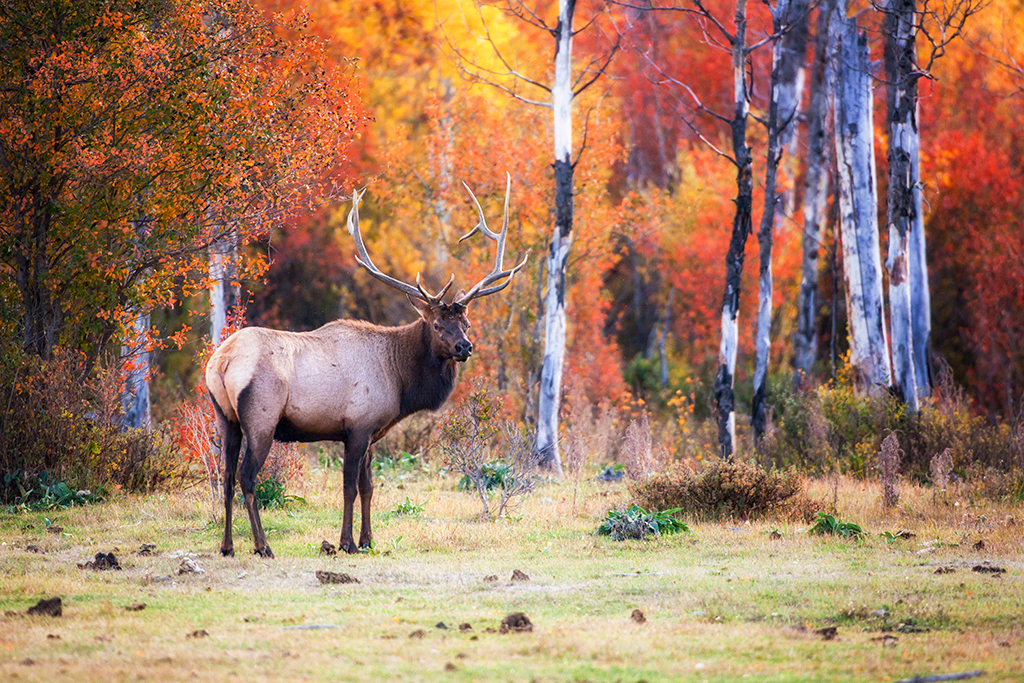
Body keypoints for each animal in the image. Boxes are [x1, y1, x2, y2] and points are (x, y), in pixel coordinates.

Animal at [206, 172, 528, 557]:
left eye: (466, 323)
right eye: (437, 325)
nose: (465, 347)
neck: (400, 381)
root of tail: (221, 362)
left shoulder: (372, 431)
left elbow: (368, 487)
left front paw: (368, 539)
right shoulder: (357, 426)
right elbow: (349, 486)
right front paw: (346, 542)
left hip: (226, 417)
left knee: (225, 477)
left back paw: (227, 546)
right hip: (261, 416)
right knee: (247, 476)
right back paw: (262, 545)